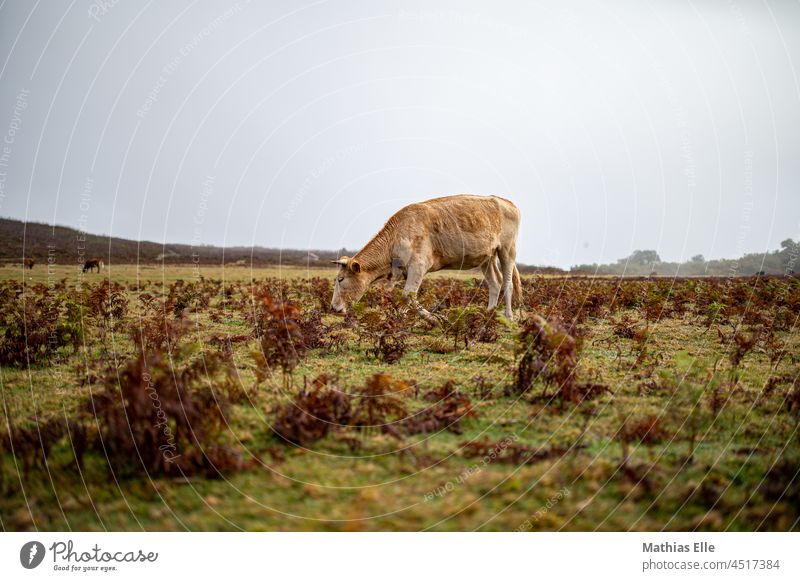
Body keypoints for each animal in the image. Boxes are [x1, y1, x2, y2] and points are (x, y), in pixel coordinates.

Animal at [330, 196, 520, 322]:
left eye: (341, 279)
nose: (333, 307)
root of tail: (506, 202)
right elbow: (407, 297)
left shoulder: (418, 266)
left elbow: (407, 295)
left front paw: (425, 319)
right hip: (486, 258)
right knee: (495, 283)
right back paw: (489, 314)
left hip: (507, 249)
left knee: (507, 283)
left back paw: (509, 316)